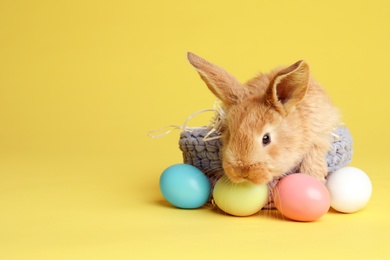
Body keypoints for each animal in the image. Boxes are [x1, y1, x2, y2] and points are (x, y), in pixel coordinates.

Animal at [187, 51, 340, 184]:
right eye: (230, 135)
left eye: (266, 138)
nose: (242, 171)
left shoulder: (320, 132)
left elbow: (315, 152)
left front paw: (313, 176)